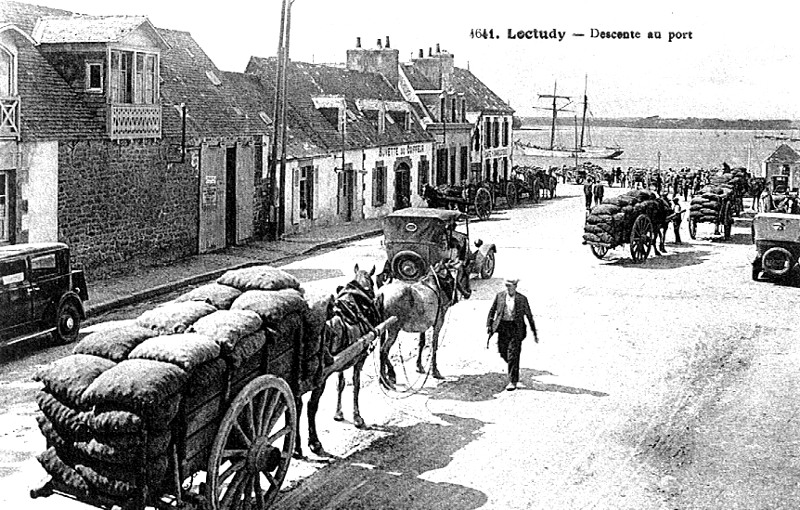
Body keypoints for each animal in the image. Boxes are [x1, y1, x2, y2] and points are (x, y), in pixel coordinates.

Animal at [296, 262, 382, 458]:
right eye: (373, 284)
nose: (373, 298)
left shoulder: (343, 360)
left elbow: (341, 384)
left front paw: (339, 413)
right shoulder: (360, 357)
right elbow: (356, 384)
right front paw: (357, 417)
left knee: (296, 406)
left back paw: (296, 447)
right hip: (319, 377)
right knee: (311, 406)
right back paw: (314, 443)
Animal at [376, 260, 468, 388]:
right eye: (465, 274)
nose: (469, 293)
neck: (439, 284)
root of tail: (382, 294)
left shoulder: (423, 325)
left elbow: (421, 343)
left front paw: (419, 366)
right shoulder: (438, 323)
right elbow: (434, 345)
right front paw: (435, 371)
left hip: (383, 328)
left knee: (381, 349)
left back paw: (385, 376)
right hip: (393, 329)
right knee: (383, 350)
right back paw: (387, 378)